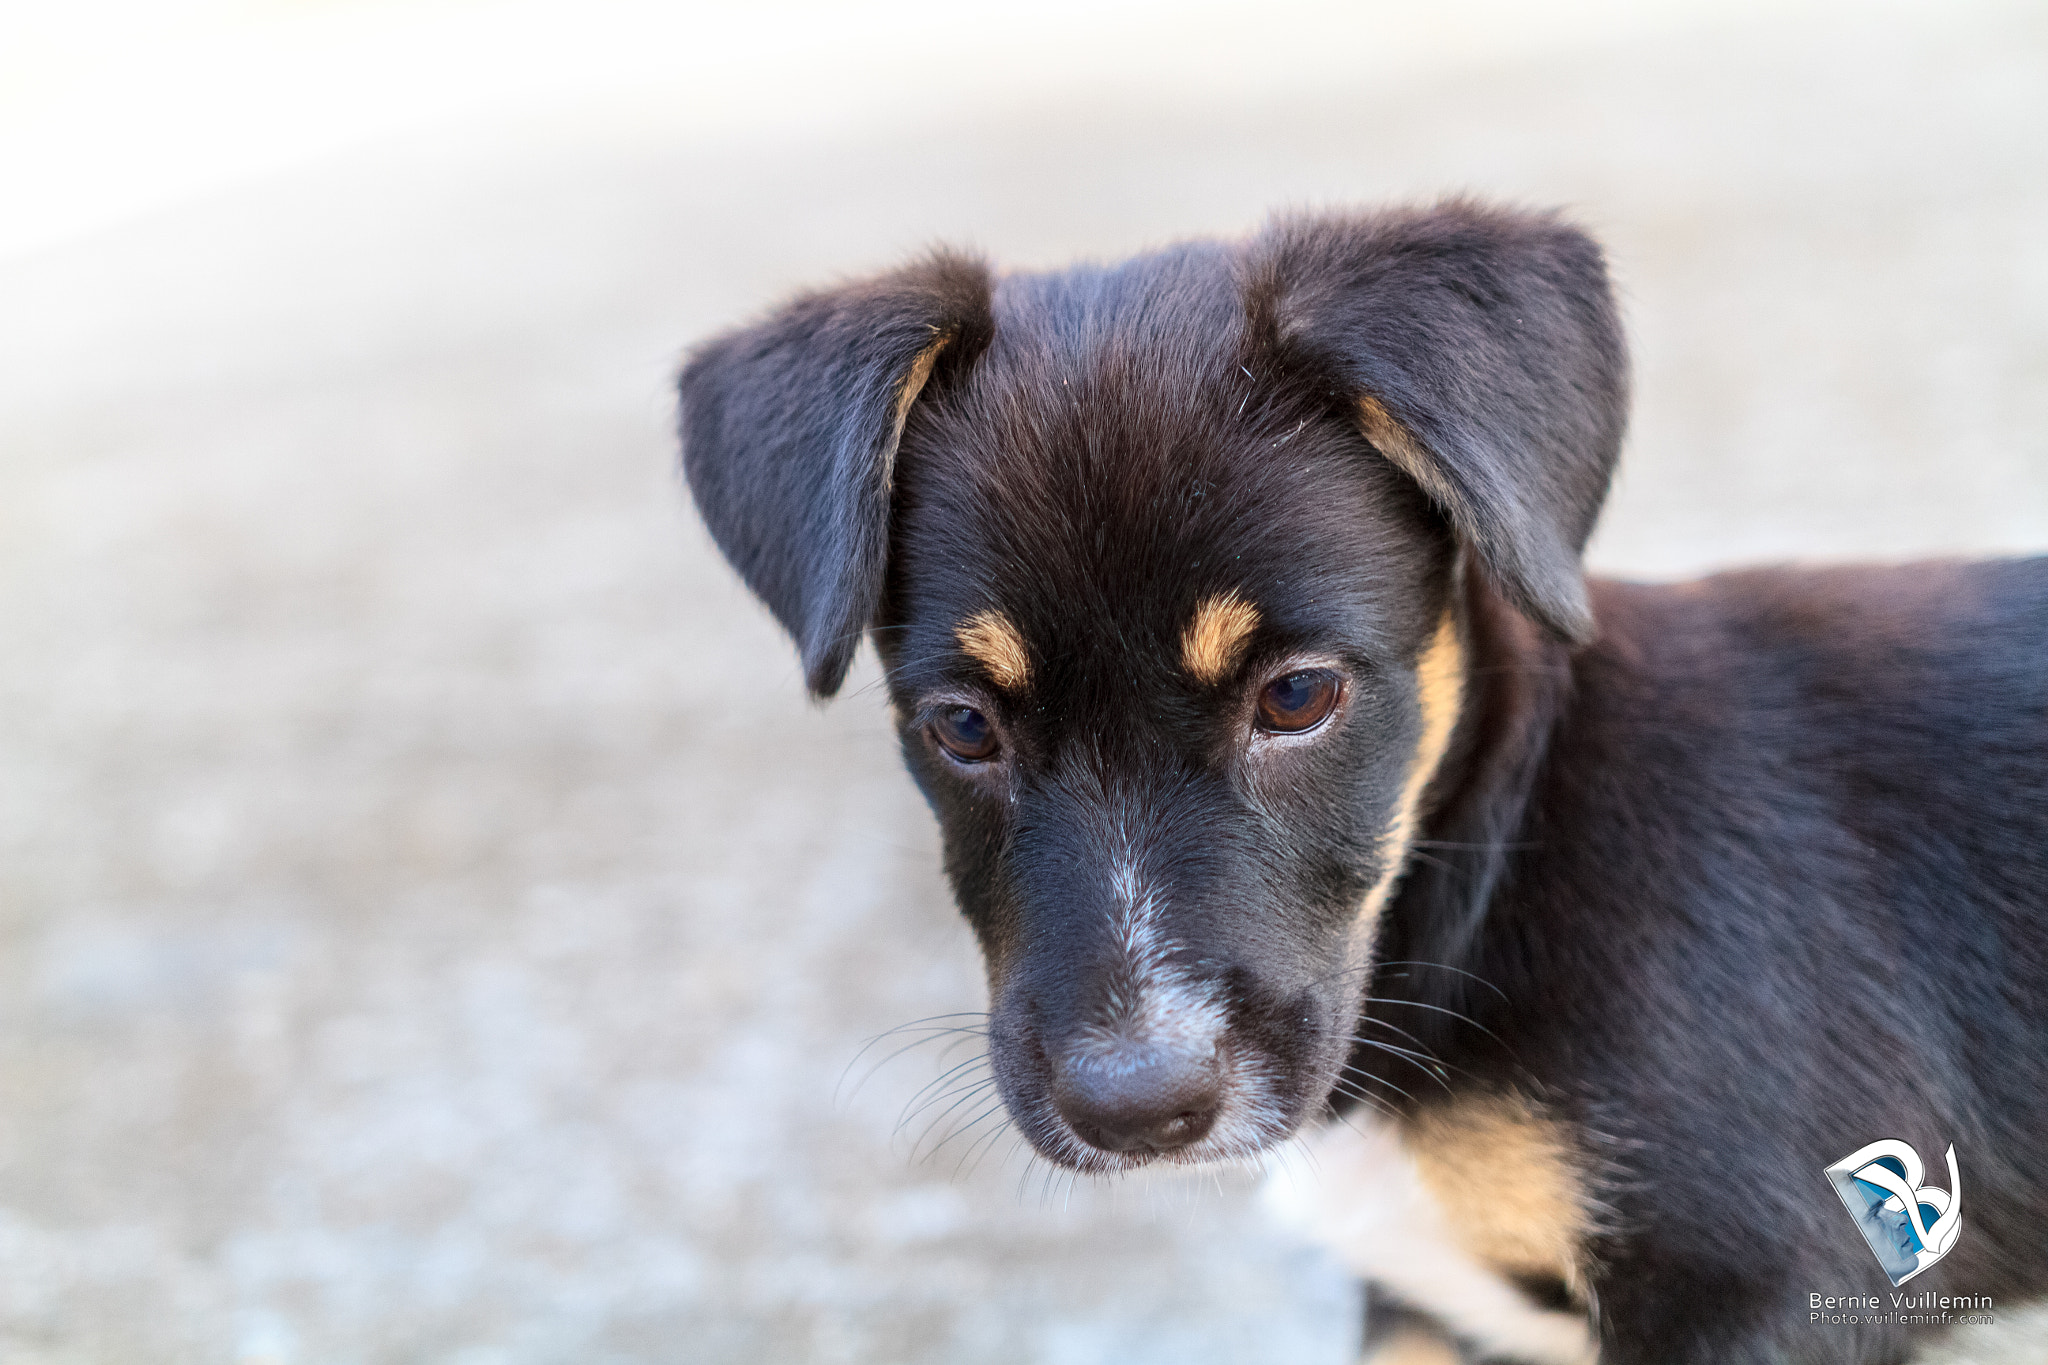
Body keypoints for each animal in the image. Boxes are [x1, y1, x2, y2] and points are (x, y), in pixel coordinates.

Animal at [675, 205, 2048, 1365]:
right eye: (961, 726)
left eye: (1295, 697)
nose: (1138, 1110)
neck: (1486, 871)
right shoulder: (1420, 1308)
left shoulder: (1751, 1280)